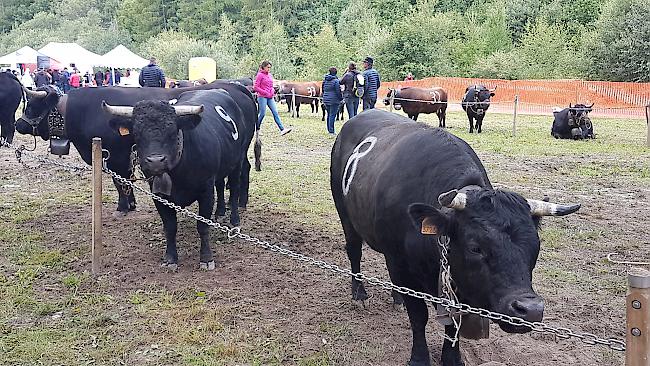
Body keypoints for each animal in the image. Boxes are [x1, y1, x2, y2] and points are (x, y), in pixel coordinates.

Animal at [15, 81, 258, 216]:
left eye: (32, 105)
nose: (18, 124)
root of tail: (237, 87)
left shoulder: (116, 157)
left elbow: (120, 181)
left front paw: (124, 206)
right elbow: (124, 182)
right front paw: (130, 203)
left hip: (242, 148)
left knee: (241, 170)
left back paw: (239, 204)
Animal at [102, 89, 254, 268]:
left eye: (172, 131)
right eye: (137, 133)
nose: (156, 161)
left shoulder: (206, 191)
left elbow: (202, 226)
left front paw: (206, 258)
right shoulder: (159, 196)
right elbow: (170, 227)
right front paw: (170, 258)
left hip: (238, 160)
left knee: (235, 188)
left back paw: (234, 220)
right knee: (220, 185)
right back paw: (220, 212)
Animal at [332, 108, 580, 366]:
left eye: (536, 247)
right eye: (475, 248)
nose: (530, 310)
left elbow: (454, 323)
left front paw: (452, 358)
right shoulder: (401, 263)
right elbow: (418, 315)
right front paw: (419, 357)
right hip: (346, 216)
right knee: (354, 252)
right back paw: (359, 293)